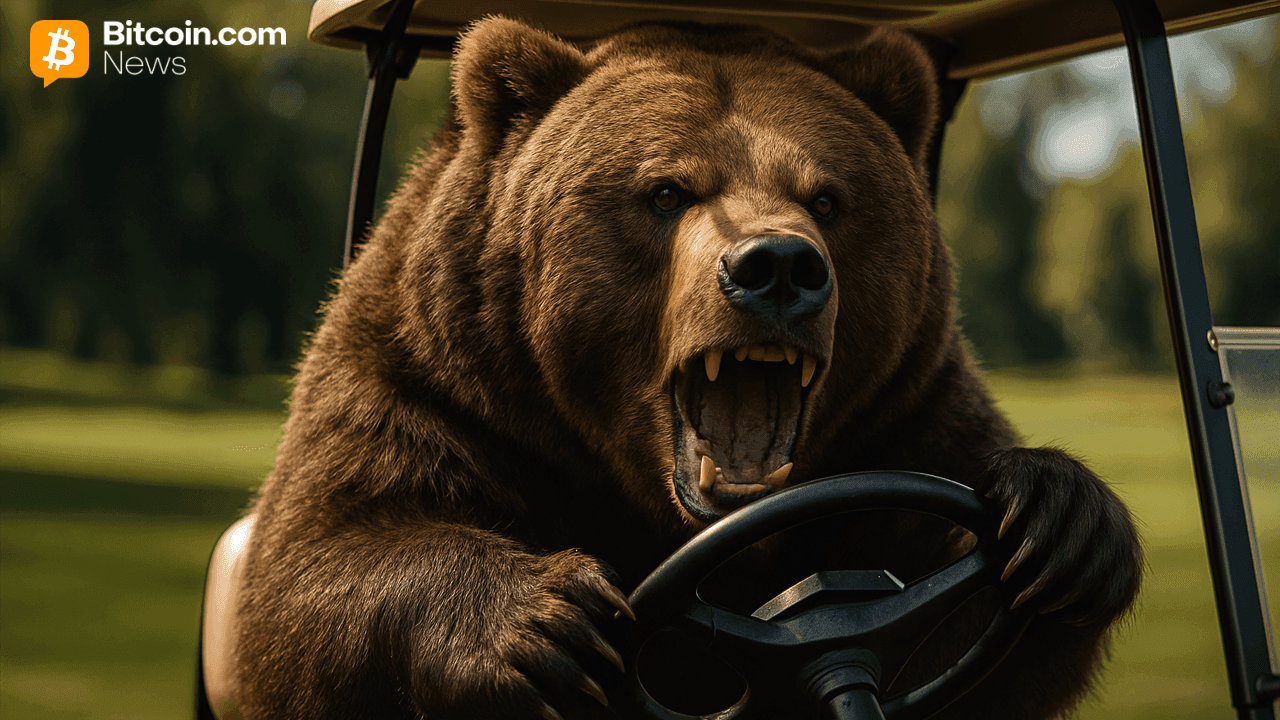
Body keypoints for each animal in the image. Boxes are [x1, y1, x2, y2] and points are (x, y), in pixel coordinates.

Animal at [230, 16, 1143, 720]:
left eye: (827, 196)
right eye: (666, 191)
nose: (777, 267)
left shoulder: (906, 418)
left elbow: (975, 642)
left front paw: (1061, 521)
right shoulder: (442, 383)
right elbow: (313, 564)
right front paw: (544, 621)